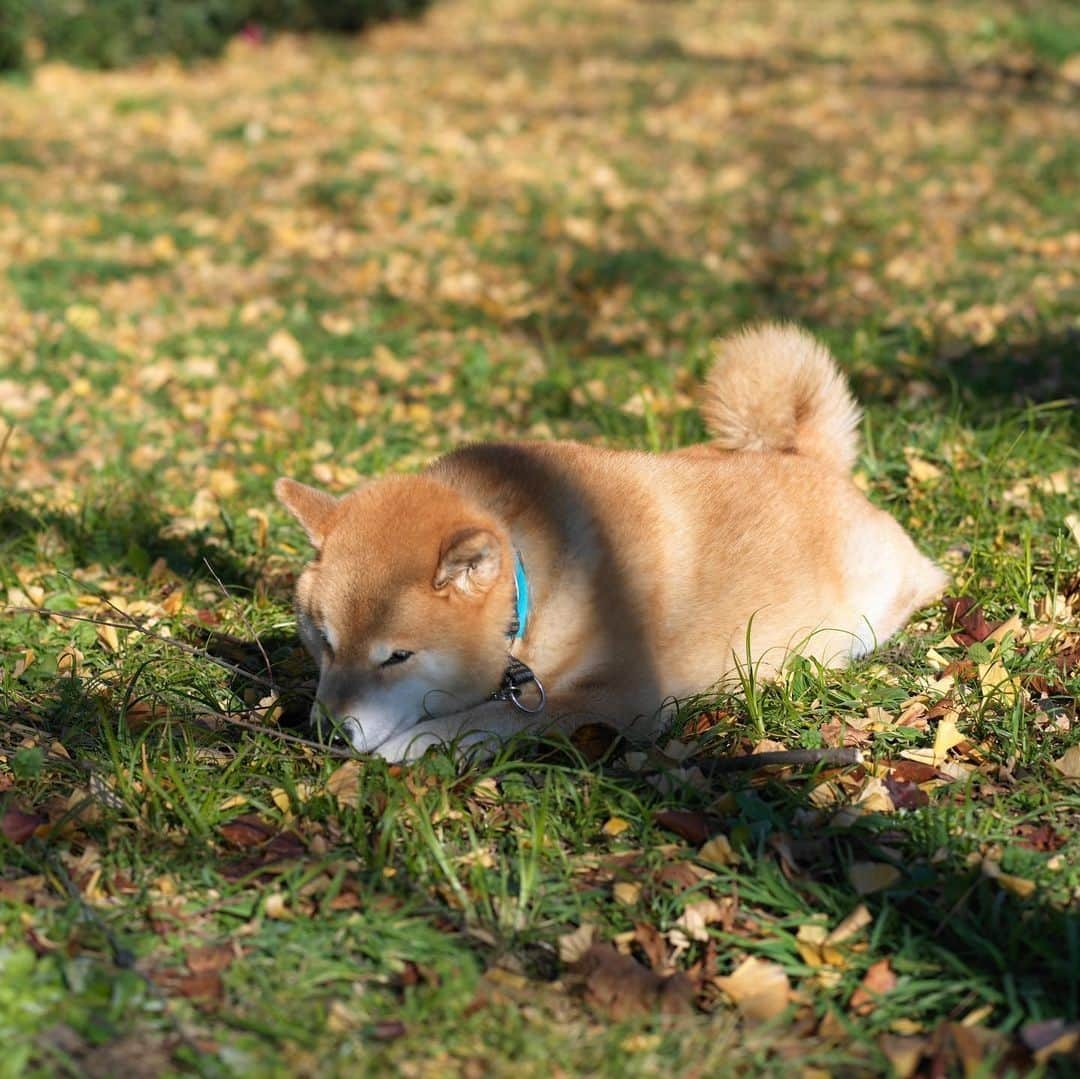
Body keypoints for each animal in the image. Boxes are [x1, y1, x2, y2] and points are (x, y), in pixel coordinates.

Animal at [276, 324, 946, 764]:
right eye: (324, 642)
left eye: (397, 657)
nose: (328, 733)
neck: (535, 581)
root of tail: (806, 457)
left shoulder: (624, 699)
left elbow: (489, 716)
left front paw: (412, 743)